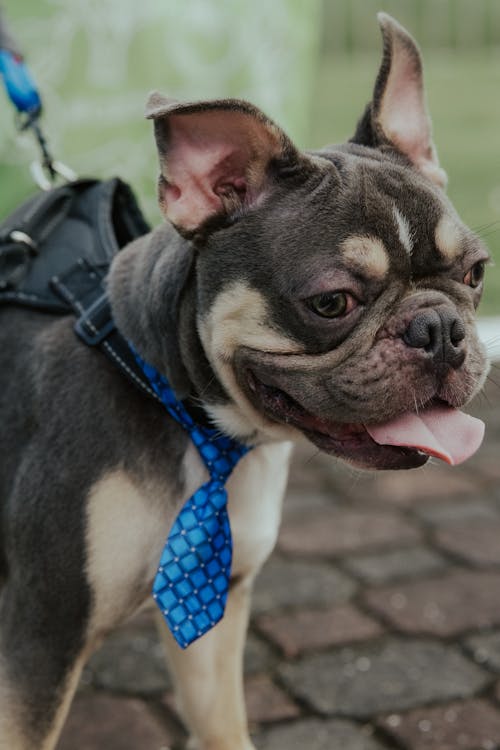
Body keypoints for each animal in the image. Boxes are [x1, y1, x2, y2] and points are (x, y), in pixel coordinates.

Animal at [0, 11, 488, 750]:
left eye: (476, 274)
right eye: (332, 302)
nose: (440, 329)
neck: (181, 410)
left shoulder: (218, 615)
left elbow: (222, 724)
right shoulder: (41, 638)